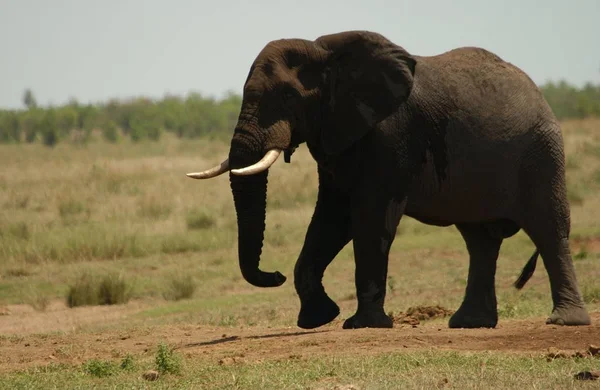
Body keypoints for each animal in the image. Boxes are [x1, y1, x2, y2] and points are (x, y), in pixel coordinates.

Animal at [186, 29, 592, 330]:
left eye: (288, 95)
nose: (274, 274)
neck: (325, 53)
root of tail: (539, 93)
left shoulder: (392, 134)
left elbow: (370, 217)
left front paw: (362, 325)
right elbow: (331, 219)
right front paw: (318, 319)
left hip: (541, 153)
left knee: (549, 229)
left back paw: (564, 321)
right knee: (480, 240)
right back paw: (469, 324)